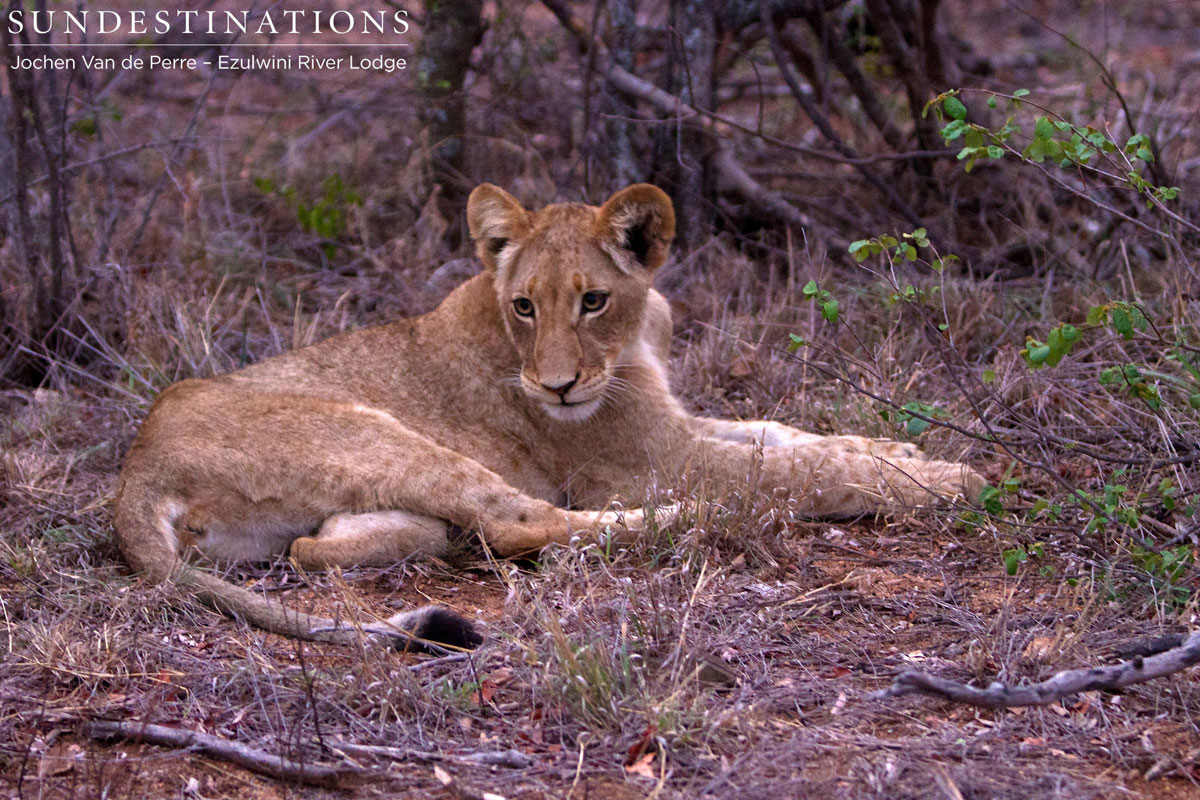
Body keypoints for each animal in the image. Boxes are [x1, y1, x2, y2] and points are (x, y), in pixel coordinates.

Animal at [113, 183, 983, 651]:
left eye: (591, 299)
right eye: (525, 306)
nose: (558, 389)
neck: (634, 338)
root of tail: (135, 470)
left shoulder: (676, 421)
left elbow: (789, 434)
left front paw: (900, 447)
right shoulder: (647, 458)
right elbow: (801, 468)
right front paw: (951, 479)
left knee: (315, 547)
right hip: (375, 430)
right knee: (521, 523)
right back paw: (689, 519)